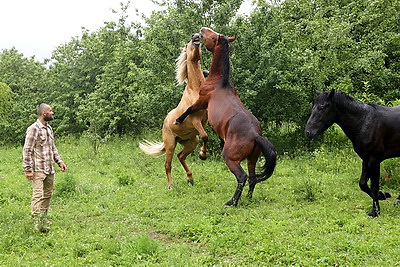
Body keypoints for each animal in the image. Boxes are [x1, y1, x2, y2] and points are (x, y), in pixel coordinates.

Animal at [139, 33, 208, 189]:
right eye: (188, 44)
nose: (195, 36)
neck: (195, 90)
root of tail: (165, 122)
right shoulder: (196, 121)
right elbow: (205, 136)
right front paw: (202, 155)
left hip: (191, 141)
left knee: (181, 156)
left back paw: (190, 178)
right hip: (170, 144)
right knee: (167, 165)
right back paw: (170, 186)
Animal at [173, 27, 276, 207]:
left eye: (213, 35)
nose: (201, 30)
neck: (220, 82)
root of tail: (255, 135)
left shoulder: (202, 101)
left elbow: (189, 109)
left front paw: (178, 119)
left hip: (231, 159)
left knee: (242, 177)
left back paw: (231, 202)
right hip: (252, 159)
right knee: (253, 178)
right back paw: (248, 199)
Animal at [306, 90, 400, 218]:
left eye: (321, 107)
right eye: (313, 107)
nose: (308, 132)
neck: (364, 122)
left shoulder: (374, 160)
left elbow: (374, 186)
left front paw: (374, 211)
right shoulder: (366, 159)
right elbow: (363, 184)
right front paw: (383, 195)